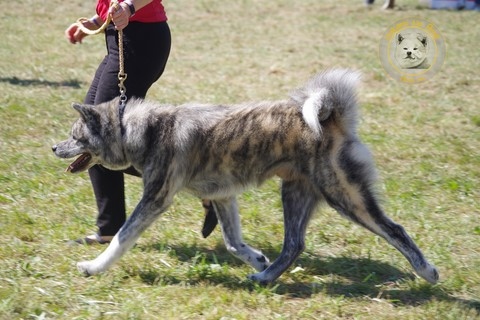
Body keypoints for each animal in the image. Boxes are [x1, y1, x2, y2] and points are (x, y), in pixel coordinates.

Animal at [52, 69, 438, 284]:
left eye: (75, 136)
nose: (54, 147)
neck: (139, 128)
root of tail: (332, 118)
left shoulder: (155, 200)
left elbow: (121, 238)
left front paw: (93, 267)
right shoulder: (223, 197)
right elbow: (232, 241)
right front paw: (256, 258)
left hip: (345, 195)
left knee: (395, 230)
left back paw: (427, 272)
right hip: (296, 193)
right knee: (294, 245)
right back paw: (265, 276)